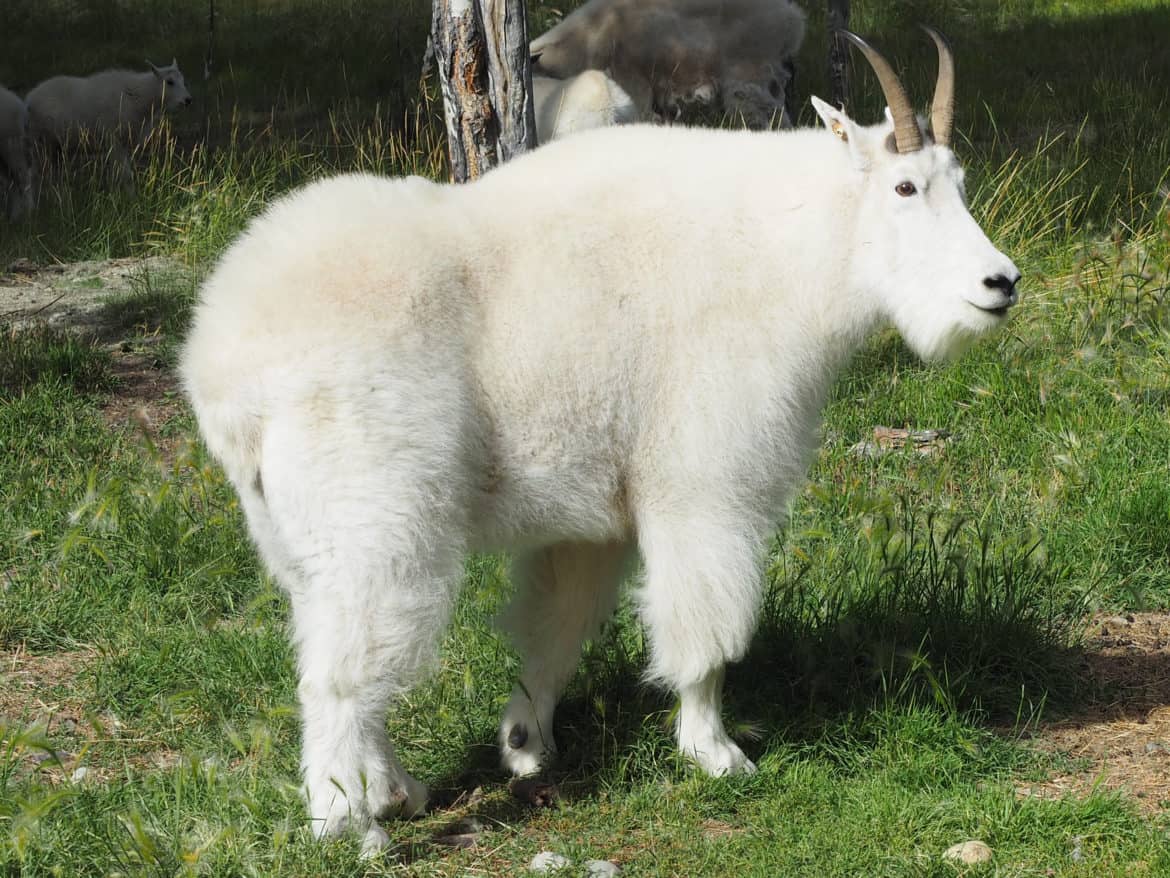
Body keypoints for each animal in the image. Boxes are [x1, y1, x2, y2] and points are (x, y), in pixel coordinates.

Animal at [25, 62, 191, 187]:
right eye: (169, 81)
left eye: (183, 80)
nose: (188, 100)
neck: (140, 97)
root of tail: (28, 99)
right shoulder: (114, 139)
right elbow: (126, 176)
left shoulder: (123, 144)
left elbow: (119, 175)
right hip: (39, 144)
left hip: (54, 147)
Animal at [177, 29, 1020, 861]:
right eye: (904, 188)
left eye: (960, 182)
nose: (1001, 283)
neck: (780, 252)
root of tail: (223, 367)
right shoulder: (704, 482)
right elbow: (704, 628)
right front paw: (716, 752)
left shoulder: (594, 513)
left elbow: (557, 626)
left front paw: (525, 745)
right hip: (376, 516)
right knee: (341, 678)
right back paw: (350, 823)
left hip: (300, 534)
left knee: (335, 645)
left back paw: (395, 790)